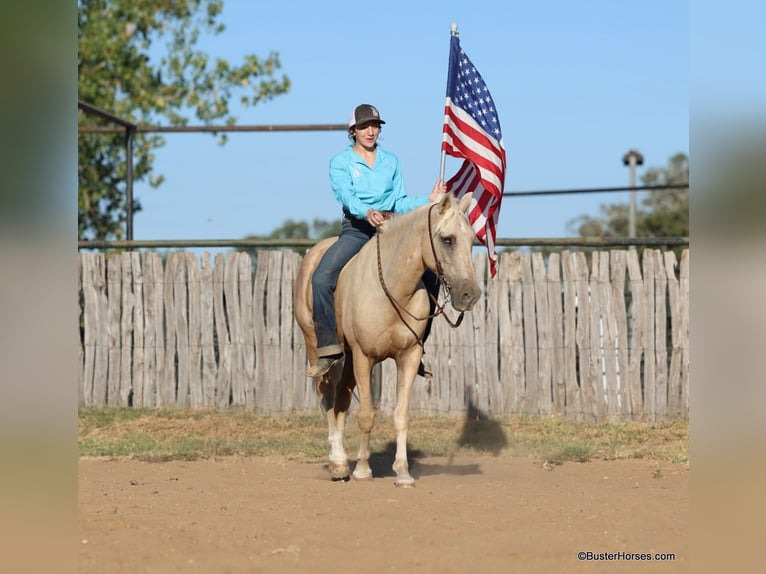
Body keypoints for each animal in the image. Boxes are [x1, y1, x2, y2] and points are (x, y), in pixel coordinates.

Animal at [294, 194, 480, 486]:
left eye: (472, 239)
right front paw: (362, 470)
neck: (393, 287)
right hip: (318, 349)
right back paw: (338, 463)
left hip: (349, 359)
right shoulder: (364, 357)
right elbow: (367, 416)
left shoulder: (409, 357)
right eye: (447, 239)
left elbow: (401, 416)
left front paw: (402, 473)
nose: (470, 295)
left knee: (341, 399)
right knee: (326, 396)